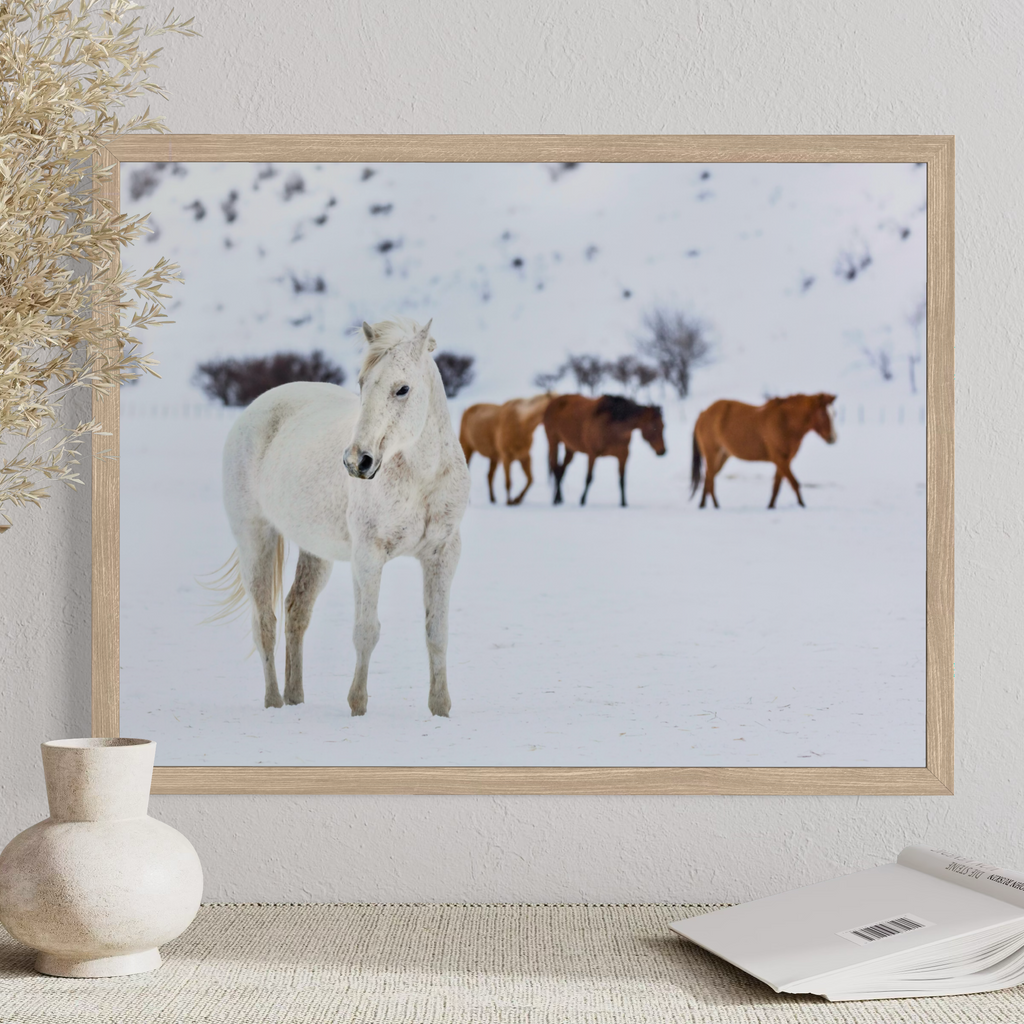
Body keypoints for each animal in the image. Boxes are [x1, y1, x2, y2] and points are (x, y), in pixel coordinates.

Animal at [214, 317, 470, 717]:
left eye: (403, 389)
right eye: (362, 383)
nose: (357, 461)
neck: (420, 478)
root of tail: (257, 407)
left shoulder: (443, 554)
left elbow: (436, 633)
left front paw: (440, 709)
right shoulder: (368, 556)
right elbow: (366, 631)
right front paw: (358, 706)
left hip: (315, 552)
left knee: (296, 611)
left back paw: (295, 697)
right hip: (255, 539)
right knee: (265, 623)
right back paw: (274, 702)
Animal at [690, 393, 837, 509]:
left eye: (834, 414)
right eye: (822, 413)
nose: (833, 438)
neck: (786, 422)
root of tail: (703, 414)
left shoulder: (785, 460)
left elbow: (777, 486)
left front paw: (771, 506)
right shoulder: (780, 459)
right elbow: (794, 483)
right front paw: (802, 505)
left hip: (722, 455)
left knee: (708, 477)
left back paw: (703, 505)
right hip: (712, 453)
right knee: (710, 478)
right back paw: (715, 506)